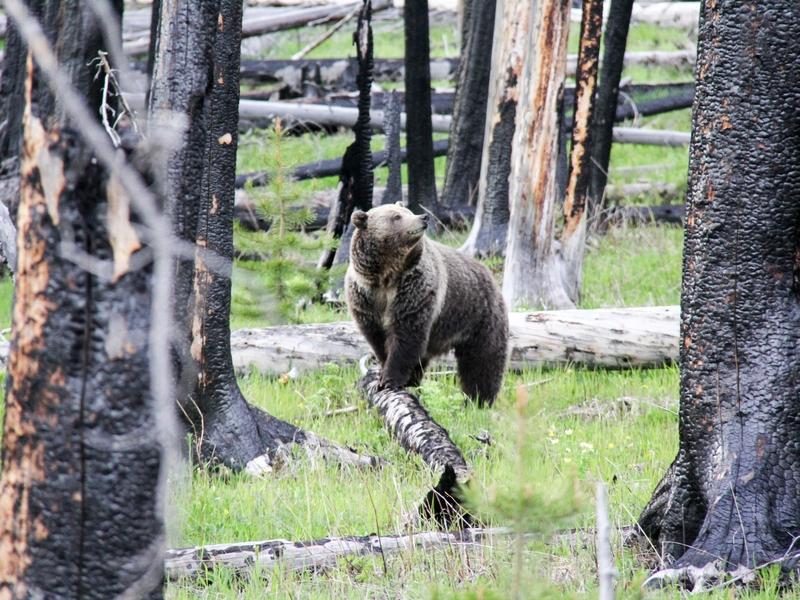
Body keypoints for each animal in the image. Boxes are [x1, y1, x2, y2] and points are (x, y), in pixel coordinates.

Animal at [344, 204, 506, 406]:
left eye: (408, 211)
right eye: (396, 216)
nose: (423, 217)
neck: (387, 276)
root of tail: (489, 273)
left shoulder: (415, 292)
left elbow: (405, 337)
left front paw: (389, 379)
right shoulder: (366, 297)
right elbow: (378, 339)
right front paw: (385, 371)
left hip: (479, 316)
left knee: (482, 361)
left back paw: (478, 400)